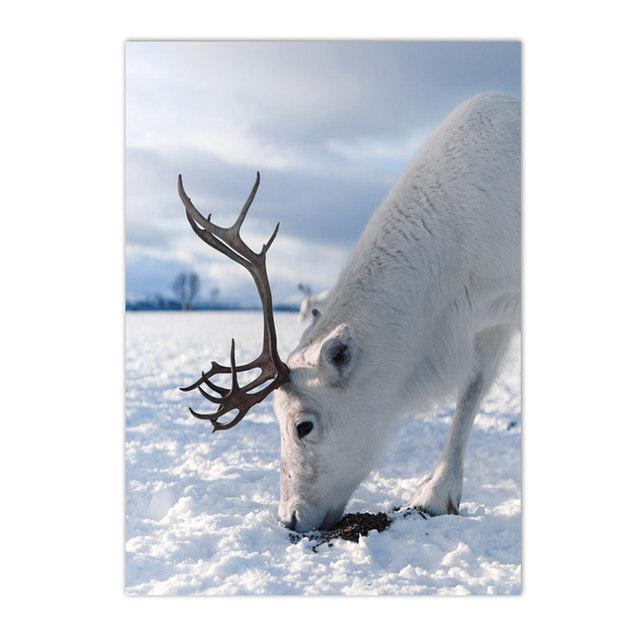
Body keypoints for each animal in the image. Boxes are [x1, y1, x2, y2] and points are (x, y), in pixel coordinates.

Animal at [179, 93, 521, 533]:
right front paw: (439, 491)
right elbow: (472, 388)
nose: (289, 518)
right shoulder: (488, 316)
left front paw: (436, 494)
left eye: (303, 425)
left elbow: (472, 391)